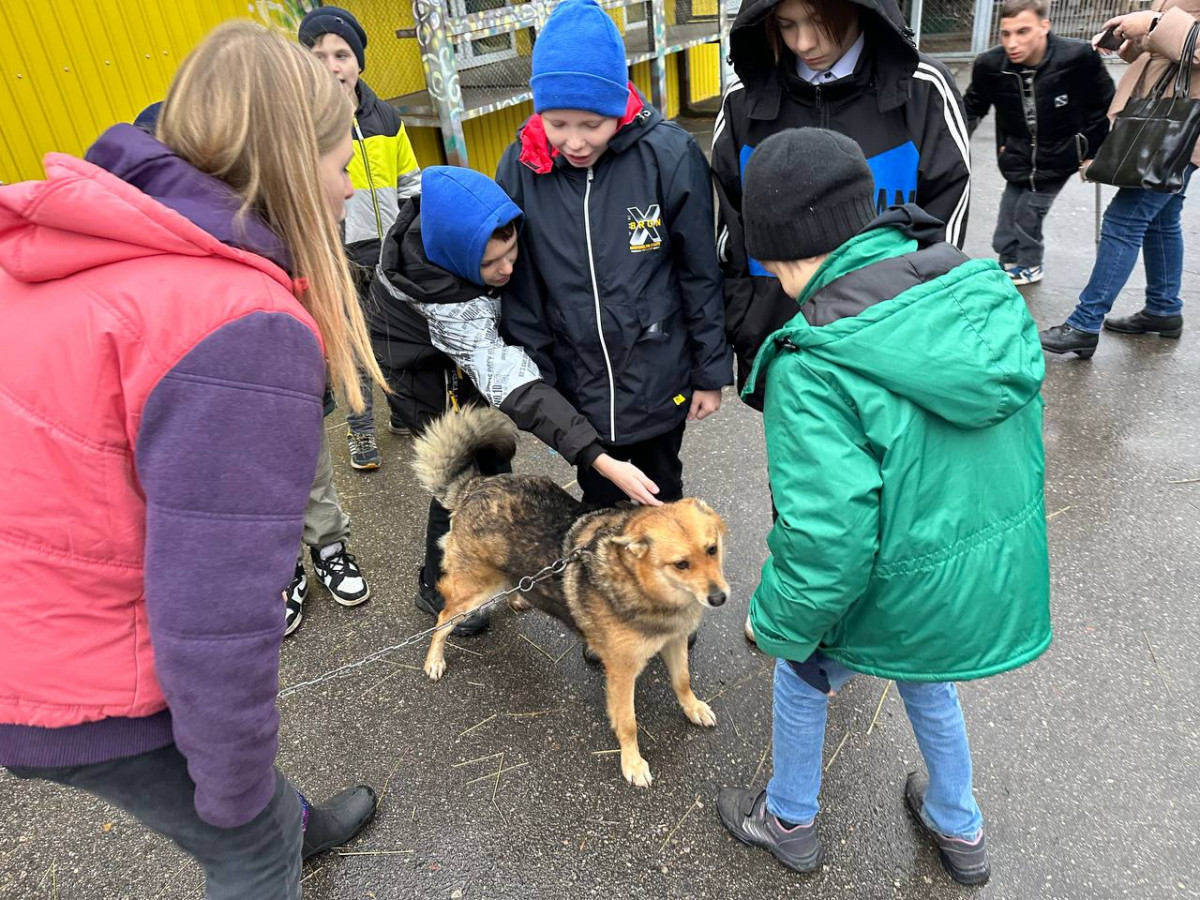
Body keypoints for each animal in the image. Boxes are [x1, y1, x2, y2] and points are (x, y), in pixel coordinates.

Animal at [412, 408, 729, 787]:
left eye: (712, 549)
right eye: (681, 564)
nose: (719, 598)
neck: (644, 588)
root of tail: (477, 486)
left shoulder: (675, 642)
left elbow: (682, 681)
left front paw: (693, 707)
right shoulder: (622, 673)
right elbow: (628, 723)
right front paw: (633, 763)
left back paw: (518, 598)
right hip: (473, 590)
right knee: (443, 618)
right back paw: (434, 659)